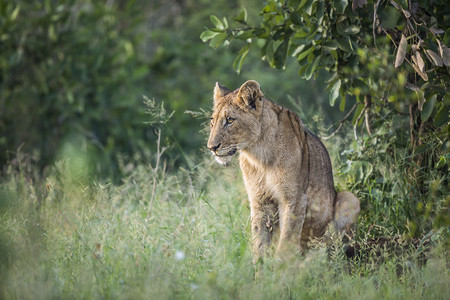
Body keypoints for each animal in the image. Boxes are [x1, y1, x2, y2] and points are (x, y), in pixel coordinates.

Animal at [208, 80, 362, 262]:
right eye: (212, 122)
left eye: (230, 120)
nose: (211, 147)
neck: (258, 156)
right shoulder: (260, 200)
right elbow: (259, 242)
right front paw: (259, 268)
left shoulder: (294, 198)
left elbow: (287, 241)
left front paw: (280, 268)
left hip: (349, 198)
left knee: (329, 249)